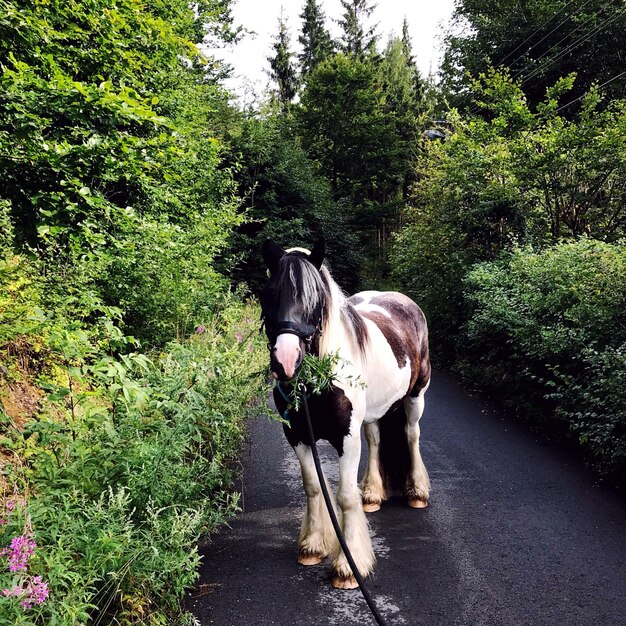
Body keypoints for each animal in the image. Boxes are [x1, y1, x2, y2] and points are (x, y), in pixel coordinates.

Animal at [258, 236, 428, 588]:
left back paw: (417, 492)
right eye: (268, 294)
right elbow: (313, 487)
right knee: (376, 440)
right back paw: (373, 496)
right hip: (375, 413)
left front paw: (348, 567)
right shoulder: (298, 436)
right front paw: (312, 546)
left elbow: (345, 496)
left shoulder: (346, 440)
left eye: (316, 299)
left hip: (416, 397)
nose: (285, 361)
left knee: (411, 435)